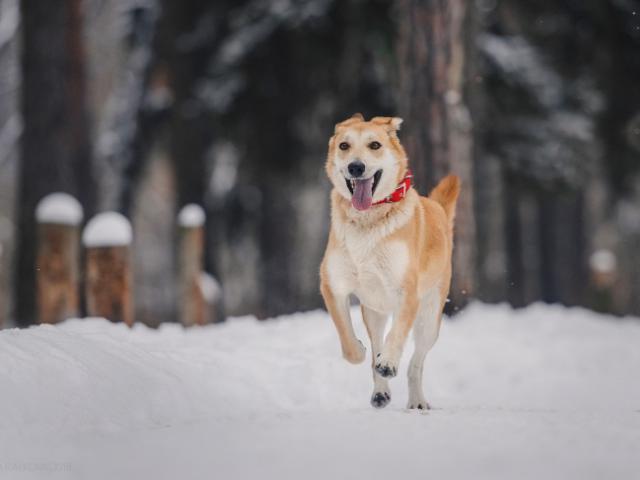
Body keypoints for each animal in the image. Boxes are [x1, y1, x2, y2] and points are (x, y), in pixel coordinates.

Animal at [320, 112, 460, 408]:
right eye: (344, 146)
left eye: (374, 145)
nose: (356, 167)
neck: (368, 222)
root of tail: (438, 208)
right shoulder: (333, 285)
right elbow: (348, 341)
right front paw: (361, 352)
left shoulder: (406, 291)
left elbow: (396, 336)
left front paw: (389, 363)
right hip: (374, 311)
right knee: (378, 342)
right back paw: (380, 391)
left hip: (429, 319)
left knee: (416, 362)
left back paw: (415, 398)